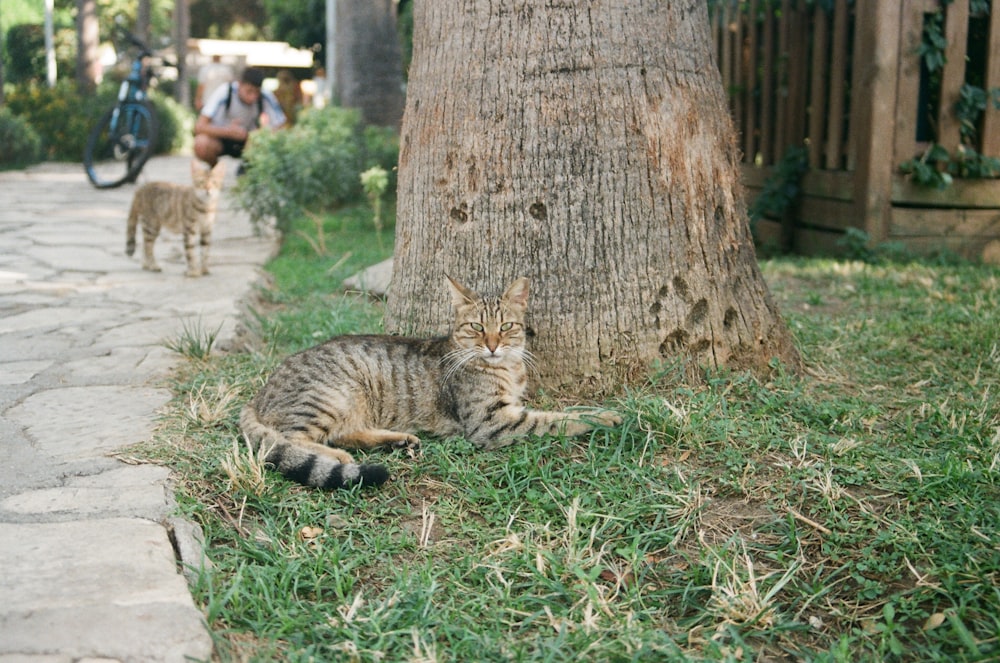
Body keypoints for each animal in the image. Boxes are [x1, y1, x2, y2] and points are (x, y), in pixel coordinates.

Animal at [239, 274, 620, 488]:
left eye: (506, 326)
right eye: (476, 327)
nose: (492, 345)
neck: (507, 368)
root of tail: (259, 393)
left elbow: (559, 411)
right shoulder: (490, 422)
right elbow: (557, 419)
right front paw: (606, 416)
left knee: (344, 432)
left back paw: (398, 441)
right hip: (330, 397)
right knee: (288, 440)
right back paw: (340, 459)